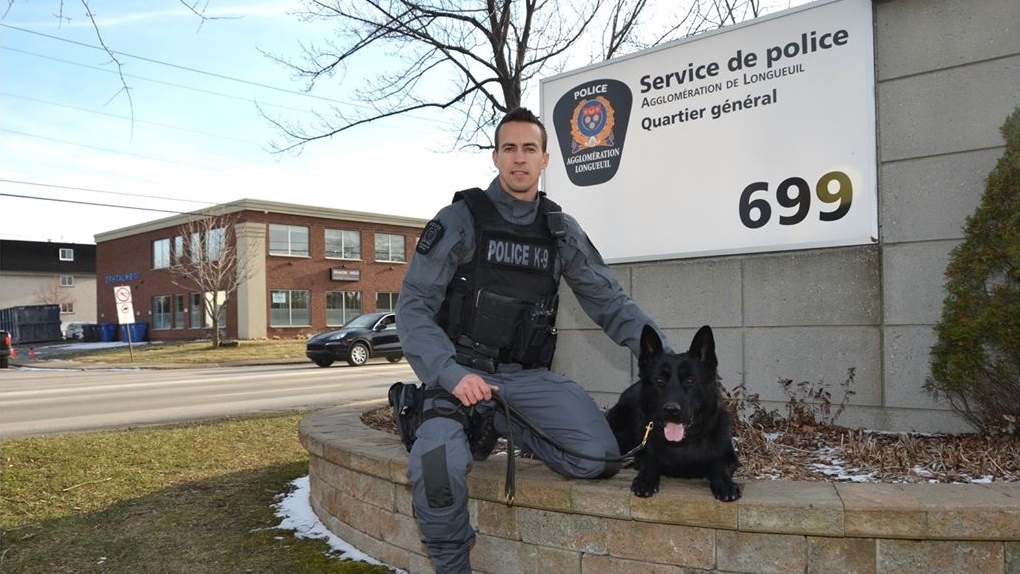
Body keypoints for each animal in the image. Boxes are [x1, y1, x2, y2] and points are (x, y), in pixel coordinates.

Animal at [603, 326, 742, 501]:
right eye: (659, 380)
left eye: (690, 380)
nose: (671, 410)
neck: (682, 444)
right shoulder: (643, 455)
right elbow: (650, 463)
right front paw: (645, 480)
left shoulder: (730, 458)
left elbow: (719, 465)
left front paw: (725, 484)